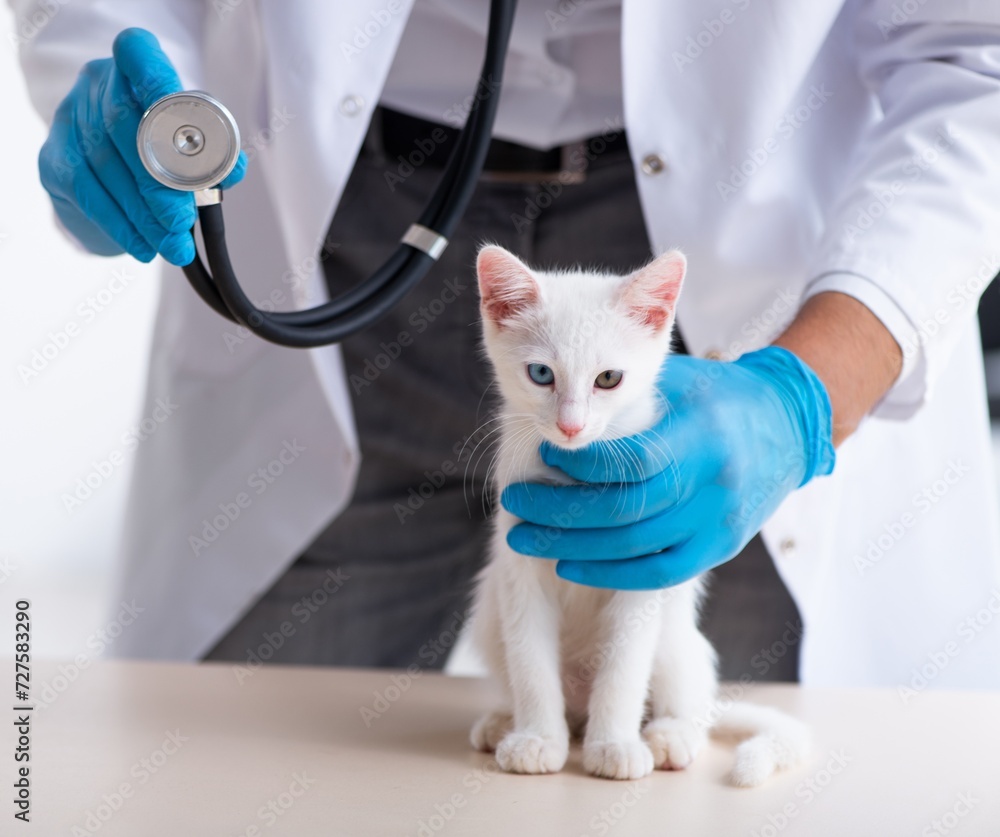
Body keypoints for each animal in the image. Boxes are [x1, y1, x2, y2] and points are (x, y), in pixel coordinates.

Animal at [470, 242, 812, 784]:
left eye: (608, 379)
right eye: (541, 374)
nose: (571, 427)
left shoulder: (641, 573)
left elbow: (624, 670)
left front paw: (613, 745)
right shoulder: (519, 570)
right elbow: (530, 663)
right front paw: (538, 739)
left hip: (677, 635)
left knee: (690, 703)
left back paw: (669, 734)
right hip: (489, 614)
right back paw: (508, 721)